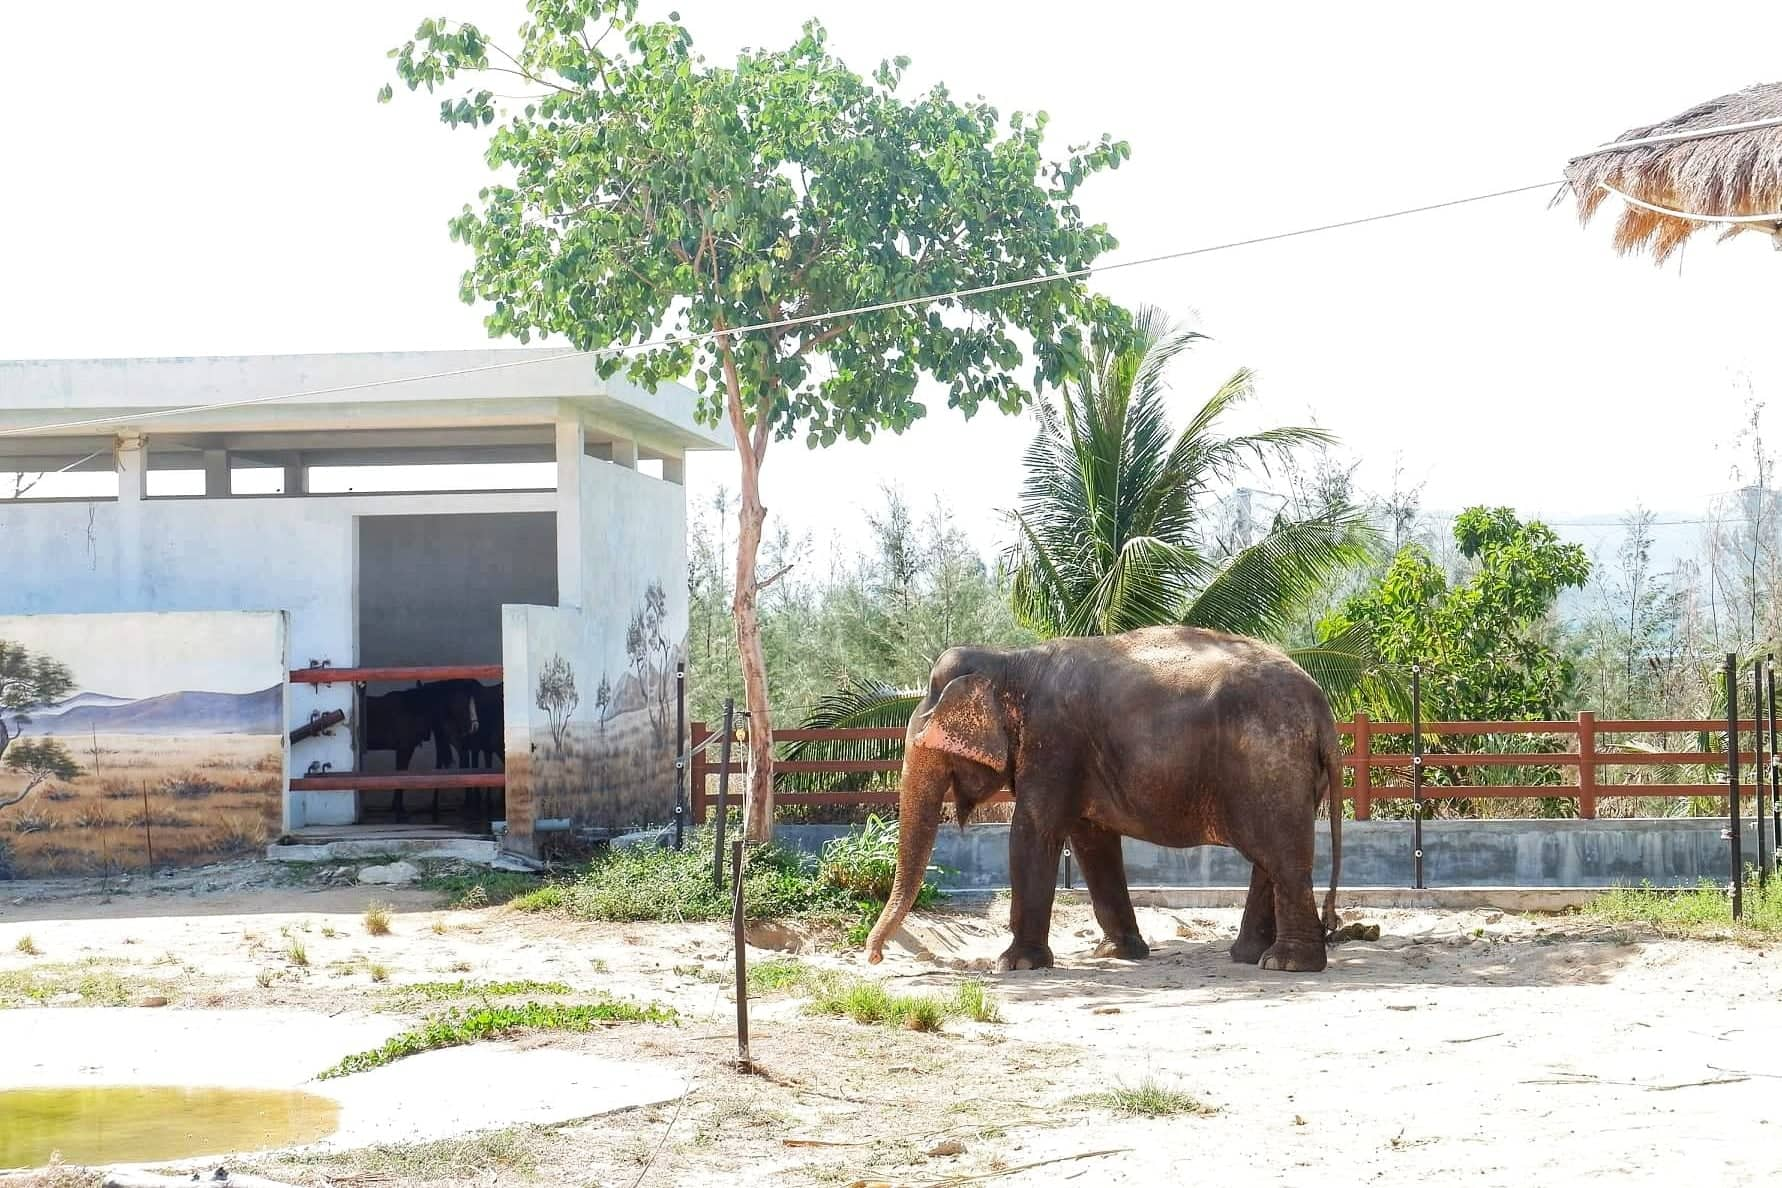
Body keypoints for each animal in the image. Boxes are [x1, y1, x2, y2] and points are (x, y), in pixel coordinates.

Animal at [858, 626, 1340, 968]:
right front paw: (1118, 954)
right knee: (1270, 859)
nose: (874, 957)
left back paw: (1286, 964)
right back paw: (1248, 956)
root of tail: (1323, 709)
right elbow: (1093, 843)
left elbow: (1033, 833)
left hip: (1269, 766)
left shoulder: (1052, 743)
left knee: (1282, 856)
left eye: (928, 741)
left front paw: (1015, 965)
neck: (1008, 659)